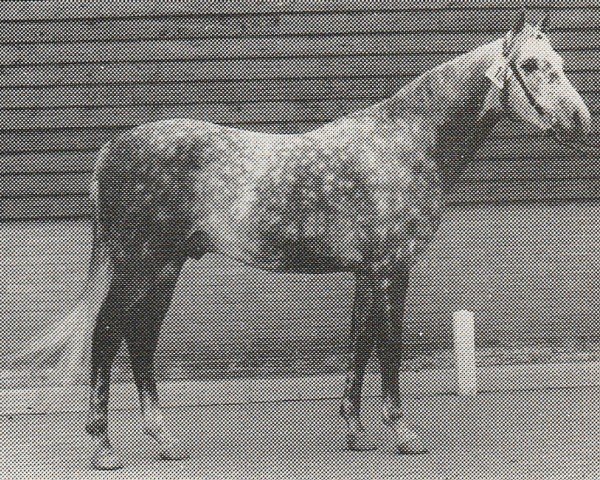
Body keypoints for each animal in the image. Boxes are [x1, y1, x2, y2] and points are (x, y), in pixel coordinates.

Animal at [9, 11, 592, 468]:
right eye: (529, 65)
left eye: (560, 61)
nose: (580, 120)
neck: (404, 143)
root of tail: (114, 147)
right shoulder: (393, 270)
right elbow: (389, 351)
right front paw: (402, 436)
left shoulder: (368, 272)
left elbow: (359, 348)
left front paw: (356, 433)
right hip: (139, 264)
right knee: (109, 335)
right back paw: (103, 448)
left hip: (165, 265)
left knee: (141, 338)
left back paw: (164, 440)